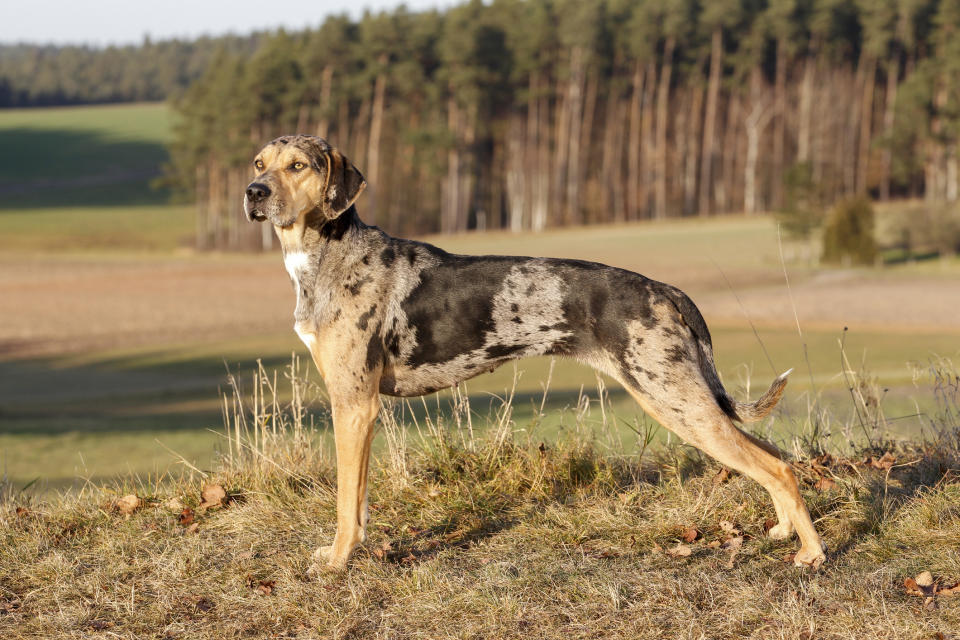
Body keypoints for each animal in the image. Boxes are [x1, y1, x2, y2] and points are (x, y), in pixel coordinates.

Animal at [240, 134, 824, 568]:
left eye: (298, 166)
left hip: (677, 400)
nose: (254, 192)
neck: (327, 255)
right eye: (259, 163)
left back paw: (813, 555)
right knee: (773, 456)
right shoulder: (354, 406)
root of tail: (666, 290)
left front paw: (338, 561)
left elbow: (345, 501)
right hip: (685, 401)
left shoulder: (355, 404)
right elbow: (358, 501)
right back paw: (782, 531)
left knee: (778, 467)